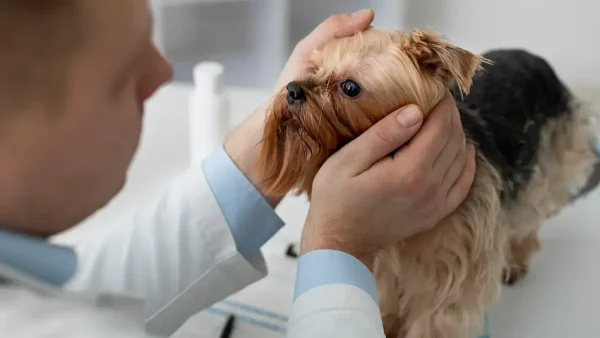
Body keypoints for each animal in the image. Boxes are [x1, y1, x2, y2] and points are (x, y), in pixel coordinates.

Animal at [255, 27, 600, 336]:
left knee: (531, 212)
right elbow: (384, 303)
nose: (292, 89)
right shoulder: (382, 262)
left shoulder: (449, 271)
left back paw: (515, 259)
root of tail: (536, 59)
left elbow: (435, 318)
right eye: (314, 69)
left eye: (351, 87)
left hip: (550, 156)